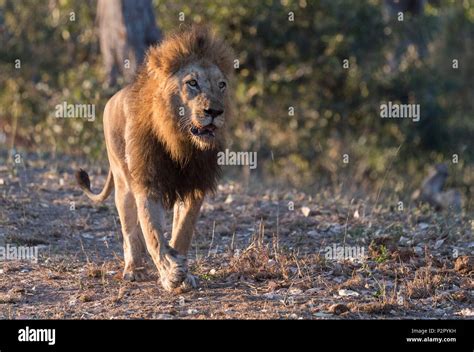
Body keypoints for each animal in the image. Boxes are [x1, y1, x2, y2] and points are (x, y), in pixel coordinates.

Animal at [75, 26, 234, 292]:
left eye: (221, 85)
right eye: (192, 83)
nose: (214, 112)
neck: (182, 142)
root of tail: (113, 98)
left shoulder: (195, 187)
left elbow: (183, 232)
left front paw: (182, 271)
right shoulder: (148, 183)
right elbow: (153, 234)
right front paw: (170, 273)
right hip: (123, 183)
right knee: (130, 233)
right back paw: (134, 270)